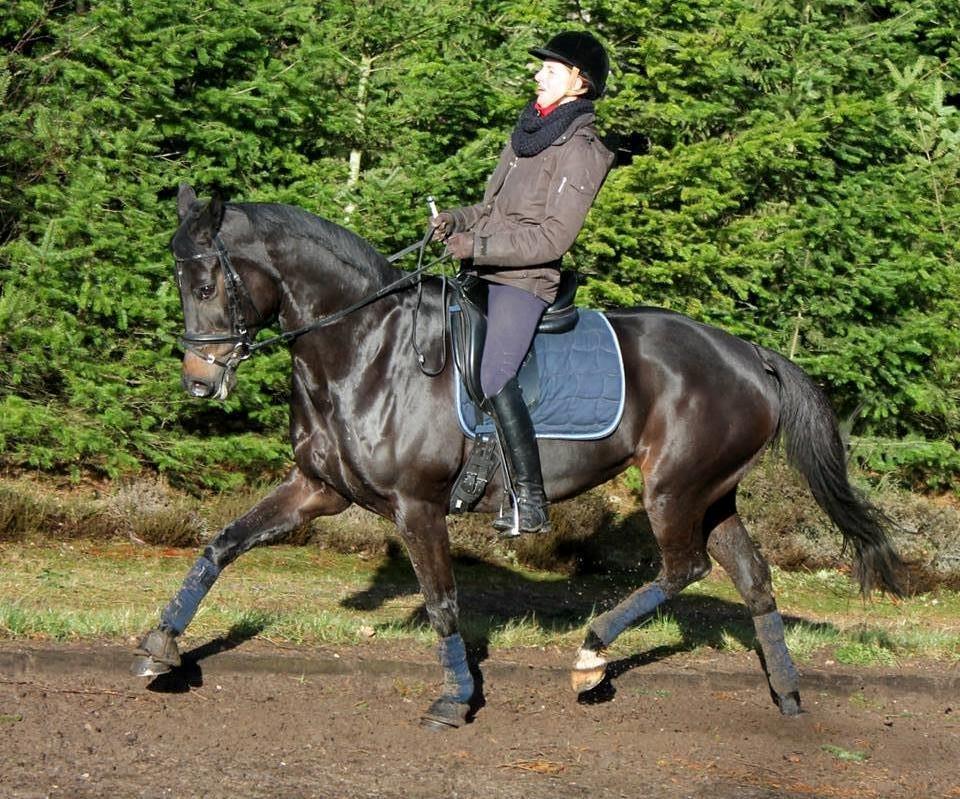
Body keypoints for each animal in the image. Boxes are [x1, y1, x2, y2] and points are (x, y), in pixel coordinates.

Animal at [131, 183, 904, 732]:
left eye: (207, 282)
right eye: (177, 279)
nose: (199, 381)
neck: (364, 348)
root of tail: (748, 353)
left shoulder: (417, 505)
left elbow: (443, 601)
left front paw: (454, 699)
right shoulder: (316, 489)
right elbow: (221, 544)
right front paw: (160, 646)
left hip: (674, 489)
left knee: (684, 568)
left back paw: (591, 654)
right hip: (713, 494)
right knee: (753, 578)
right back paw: (787, 694)